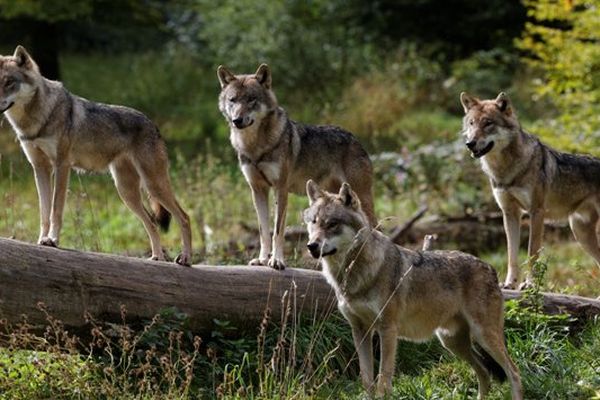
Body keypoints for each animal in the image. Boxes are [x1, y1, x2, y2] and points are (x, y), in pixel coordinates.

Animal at [0, 45, 192, 266]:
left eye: (9, 82)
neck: (38, 119)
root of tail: (153, 124)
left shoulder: (62, 165)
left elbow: (56, 209)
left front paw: (53, 240)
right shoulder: (40, 169)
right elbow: (44, 213)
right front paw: (42, 240)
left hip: (153, 185)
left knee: (184, 217)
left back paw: (185, 258)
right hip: (126, 192)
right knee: (151, 223)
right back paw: (157, 258)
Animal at [304, 180, 520, 398]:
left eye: (332, 224)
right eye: (313, 222)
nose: (311, 245)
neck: (354, 274)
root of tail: (491, 269)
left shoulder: (387, 329)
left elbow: (384, 379)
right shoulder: (360, 331)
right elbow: (367, 380)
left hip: (483, 336)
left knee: (514, 373)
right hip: (451, 341)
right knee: (484, 373)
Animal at [462, 92, 600, 290]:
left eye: (488, 123)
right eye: (471, 123)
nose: (469, 143)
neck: (506, 170)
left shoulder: (536, 212)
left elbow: (532, 253)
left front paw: (530, 284)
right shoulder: (510, 213)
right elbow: (511, 255)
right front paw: (509, 284)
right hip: (580, 233)